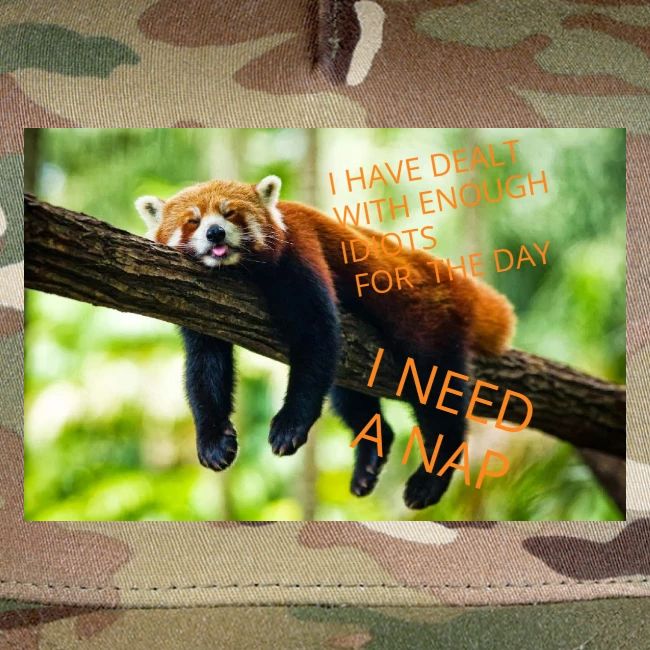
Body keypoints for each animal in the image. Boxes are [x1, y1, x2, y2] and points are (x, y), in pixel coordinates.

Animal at [136, 175, 515, 509]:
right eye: (193, 221)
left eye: (230, 214)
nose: (215, 232)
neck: (238, 271)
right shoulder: (200, 304)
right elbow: (205, 368)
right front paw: (213, 440)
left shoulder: (300, 252)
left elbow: (316, 337)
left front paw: (290, 425)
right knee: (348, 395)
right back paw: (370, 457)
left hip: (426, 322)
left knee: (436, 391)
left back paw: (431, 477)